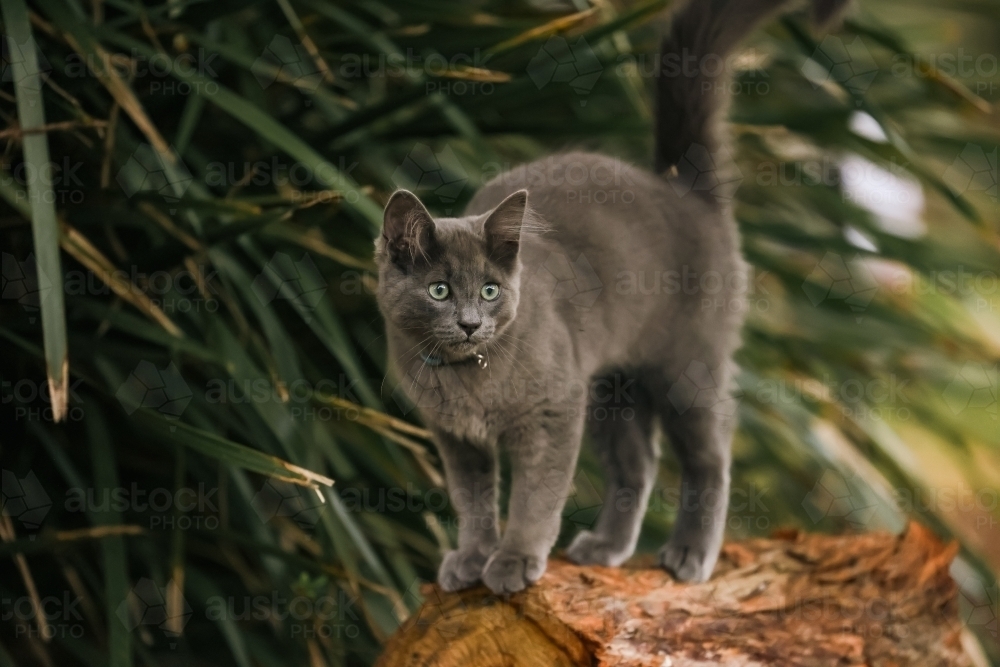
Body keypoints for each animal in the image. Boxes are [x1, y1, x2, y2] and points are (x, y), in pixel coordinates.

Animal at [376, 0, 844, 596]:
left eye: (489, 290)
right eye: (439, 289)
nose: (469, 323)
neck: (468, 380)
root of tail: (681, 189)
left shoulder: (553, 410)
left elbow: (536, 496)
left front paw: (514, 561)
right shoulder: (456, 440)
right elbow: (473, 501)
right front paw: (473, 557)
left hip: (685, 368)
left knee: (710, 458)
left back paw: (691, 553)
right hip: (611, 387)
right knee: (636, 464)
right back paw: (608, 548)